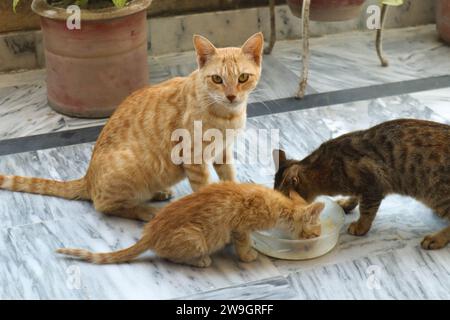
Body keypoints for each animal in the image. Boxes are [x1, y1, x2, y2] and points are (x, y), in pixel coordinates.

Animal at [0, 33, 264, 221]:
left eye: (242, 78)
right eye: (217, 79)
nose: (231, 96)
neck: (227, 116)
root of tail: (87, 178)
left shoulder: (223, 151)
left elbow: (229, 177)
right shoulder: (194, 159)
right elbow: (204, 188)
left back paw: (159, 193)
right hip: (129, 169)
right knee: (106, 205)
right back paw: (146, 211)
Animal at [57, 182, 324, 268]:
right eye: (316, 232)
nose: (316, 238)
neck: (277, 205)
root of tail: (150, 232)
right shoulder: (240, 226)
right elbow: (243, 241)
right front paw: (247, 255)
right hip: (194, 237)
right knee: (170, 256)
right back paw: (201, 260)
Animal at [272, 119, 450, 249]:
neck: (323, 168)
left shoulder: (373, 185)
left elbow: (367, 210)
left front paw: (361, 226)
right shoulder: (362, 188)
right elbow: (356, 197)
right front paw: (346, 203)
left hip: (438, 194)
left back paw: (436, 239)